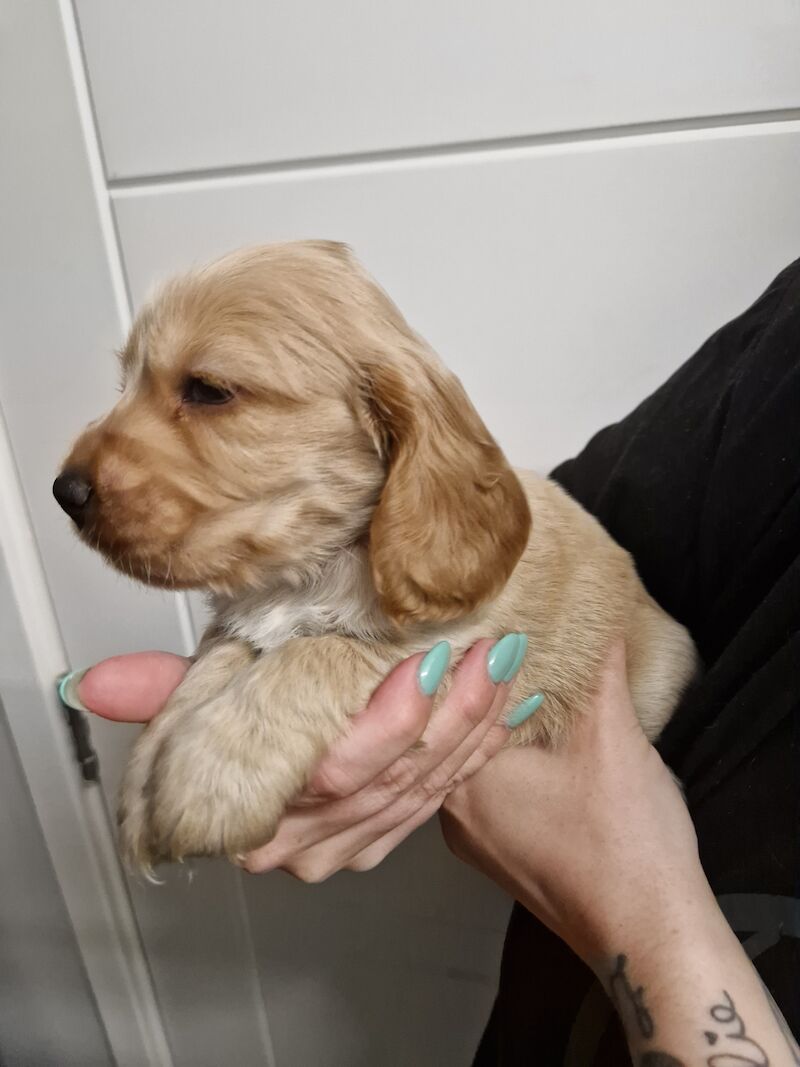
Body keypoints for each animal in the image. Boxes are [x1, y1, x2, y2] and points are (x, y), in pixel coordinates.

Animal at [53, 244, 699, 874]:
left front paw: (209, 776)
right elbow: (216, 660)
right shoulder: (245, 623)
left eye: (208, 390)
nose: (65, 491)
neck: (307, 568)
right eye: (126, 385)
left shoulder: (454, 647)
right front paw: (147, 778)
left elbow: (317, 654)